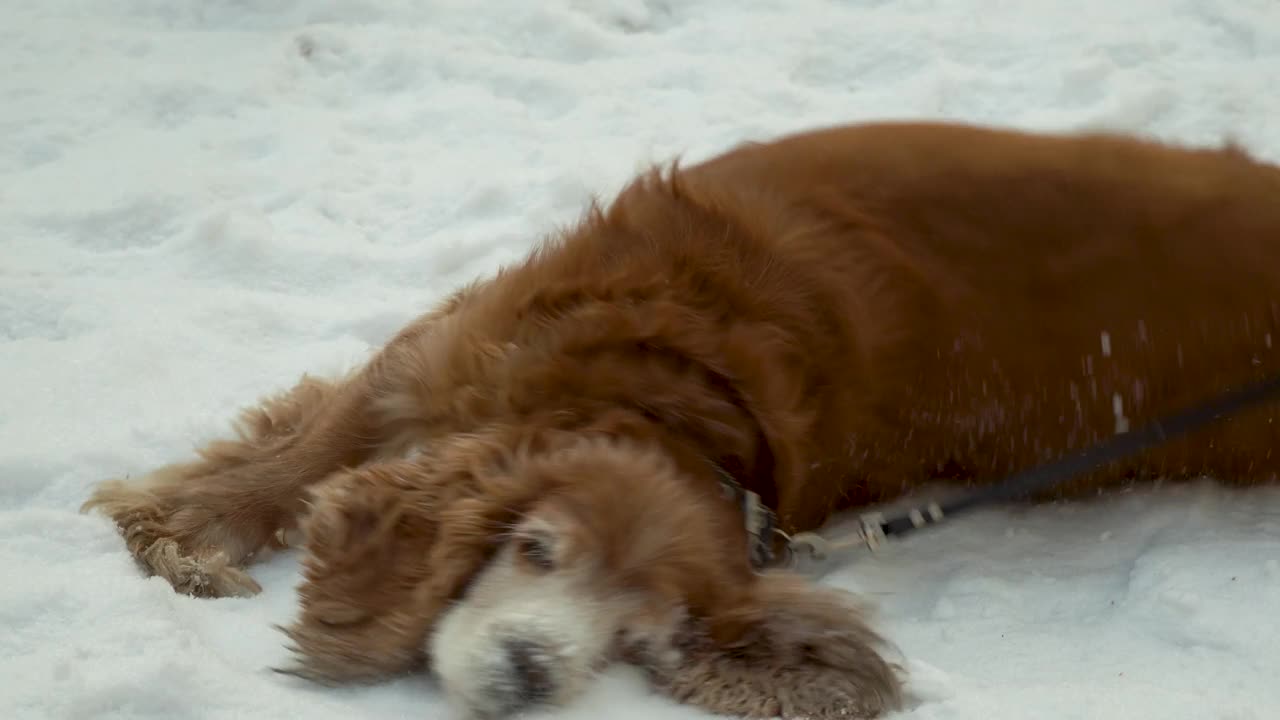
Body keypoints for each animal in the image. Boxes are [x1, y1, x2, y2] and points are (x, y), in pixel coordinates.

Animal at [80, 120, 1280, 712]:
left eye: (638, 637)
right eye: (533, 548)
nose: (535, 676)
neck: (677, 400)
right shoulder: (447, 352)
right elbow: (298, 454)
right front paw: (180, 540)